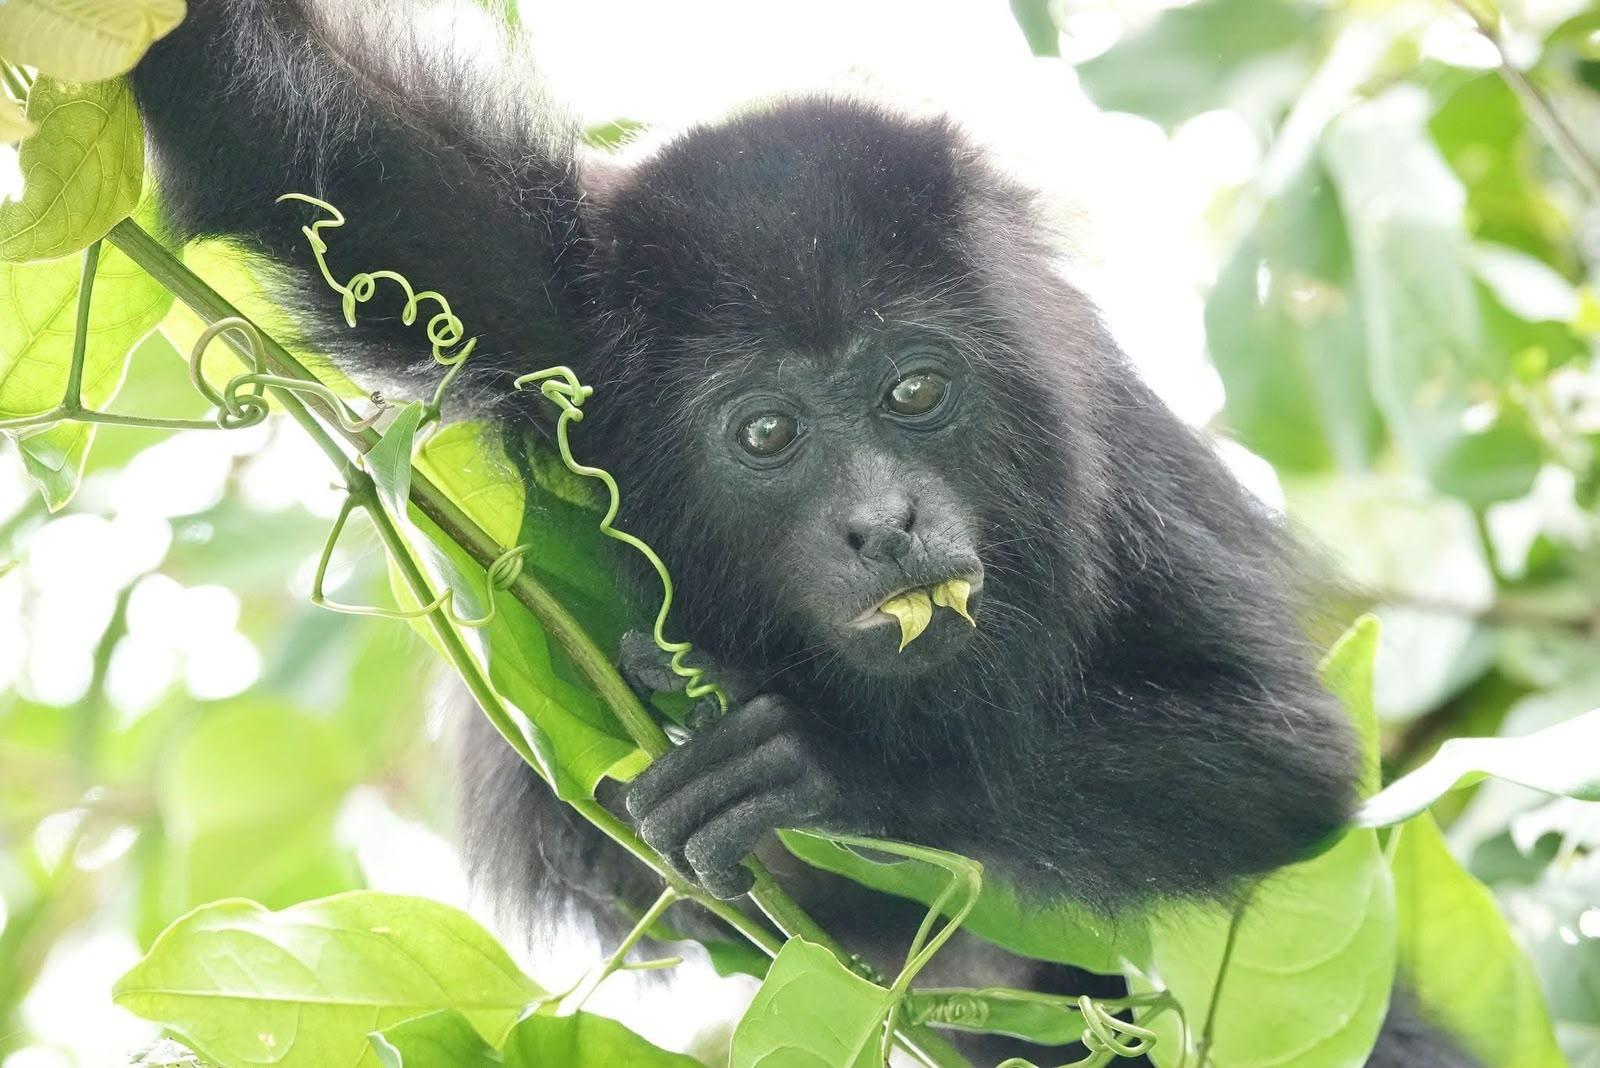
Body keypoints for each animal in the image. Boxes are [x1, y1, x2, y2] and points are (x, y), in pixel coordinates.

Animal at [129, 2, 1482, 1064]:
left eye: (915, 390)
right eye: (768, 432)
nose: (884, 522)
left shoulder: (1115, 464)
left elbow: (1287, 757)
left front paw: (831, 767)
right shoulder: (552, 304)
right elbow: (312, 148)